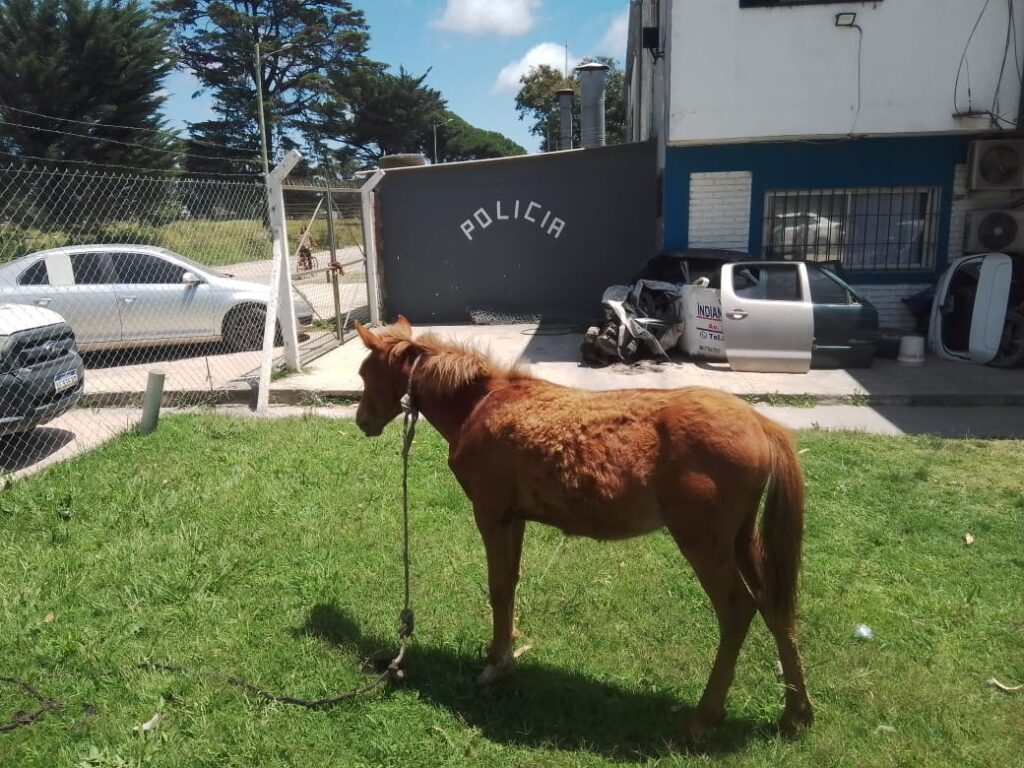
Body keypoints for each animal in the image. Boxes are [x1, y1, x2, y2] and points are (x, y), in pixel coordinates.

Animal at [353, 316, 813, 740]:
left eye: (364, 373)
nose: (362, 422)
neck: (482, 405)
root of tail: (760, 424)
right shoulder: (515, 517)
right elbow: (511, 584)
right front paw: (505, 654)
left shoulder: (490, 513)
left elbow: (498, 586)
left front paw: (495, 666)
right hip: (742, 539)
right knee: (775, 605)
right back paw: (796, 713)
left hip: (704, 544)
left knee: (737, 612)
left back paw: (705, 716)